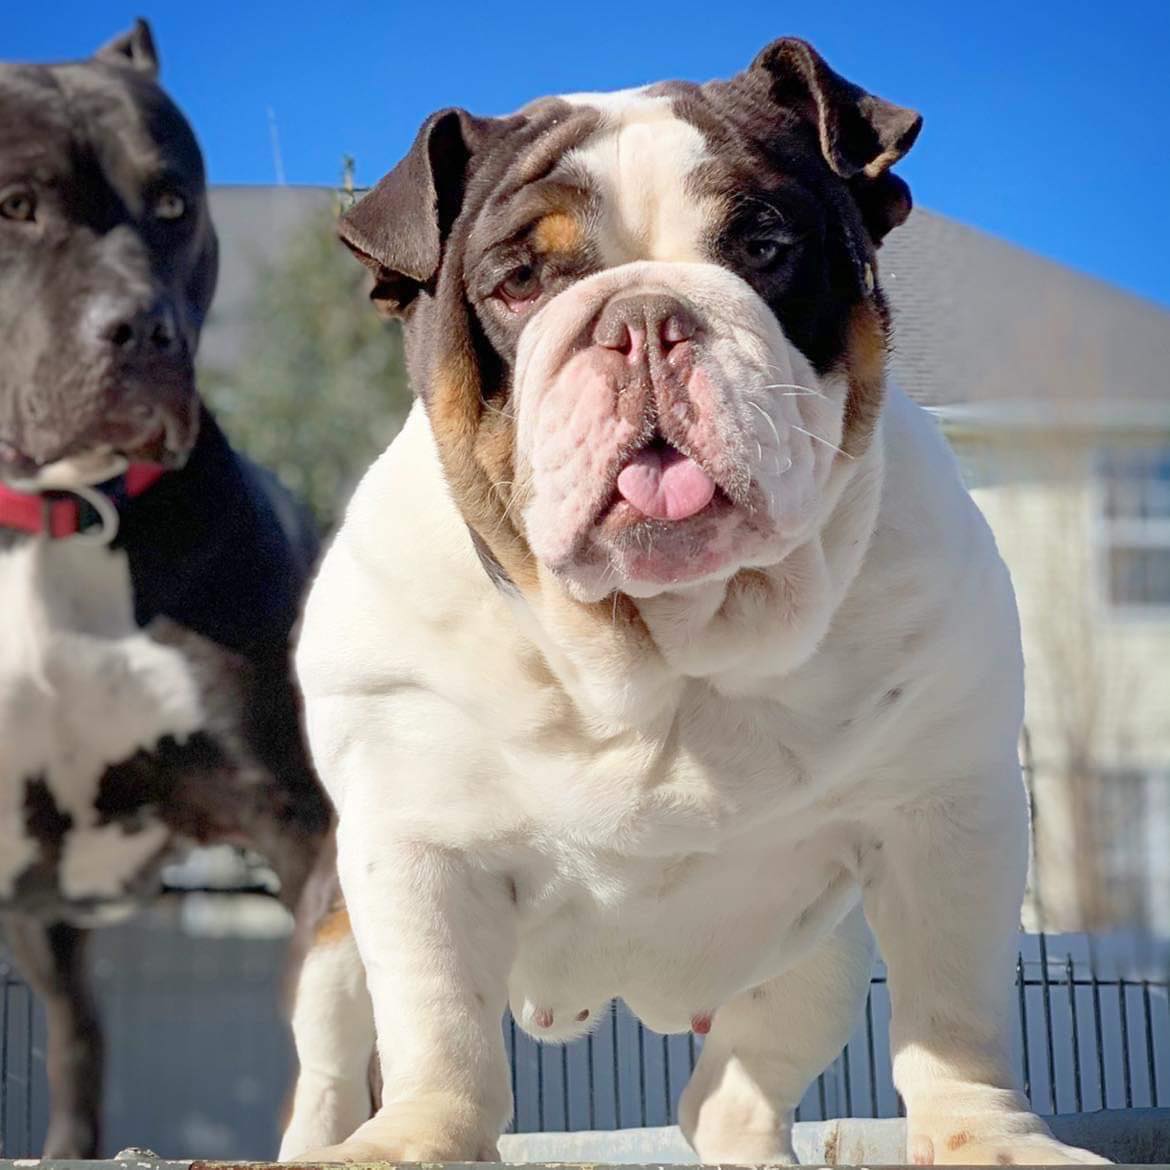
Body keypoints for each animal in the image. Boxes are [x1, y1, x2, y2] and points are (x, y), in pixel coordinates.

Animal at [1, 22, 329, 1155]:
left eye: (175, 203)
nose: (145, 331)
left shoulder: (296, 818)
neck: (58, 517)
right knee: (76, 1035)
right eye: (14, 205)